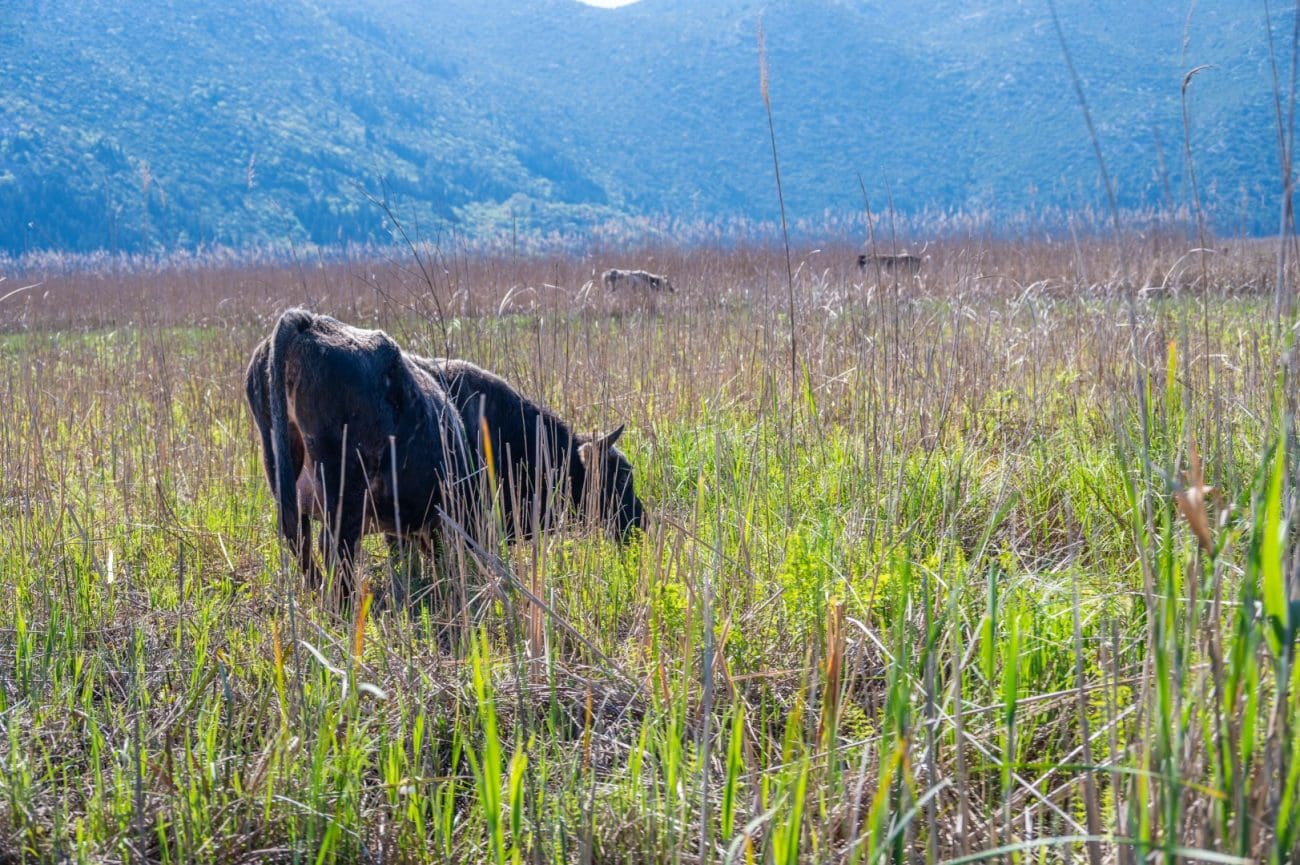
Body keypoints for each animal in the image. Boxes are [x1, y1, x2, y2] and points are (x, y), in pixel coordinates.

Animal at [245, 309, 474, 608]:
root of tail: (308, 322)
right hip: (345, 484)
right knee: (333, 545)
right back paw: (343, 605)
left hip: (281, 465)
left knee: (298, 535)